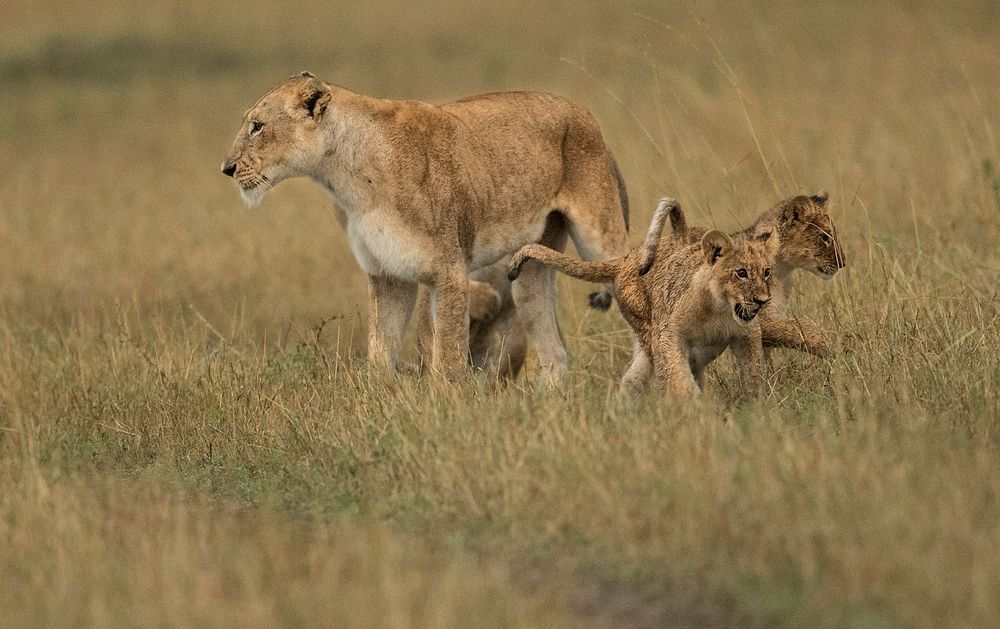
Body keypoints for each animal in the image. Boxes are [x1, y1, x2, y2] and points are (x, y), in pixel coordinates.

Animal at [223, 71, 628, 380]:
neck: (345, 177)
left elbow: (446, 358)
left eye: (257, 127)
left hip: (600, 237)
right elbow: (380, 351)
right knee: (554, 349)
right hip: (529, 270)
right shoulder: (388, 273)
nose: (226, 168)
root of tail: (585, 116)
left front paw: (447, 413)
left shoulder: (449, 270)